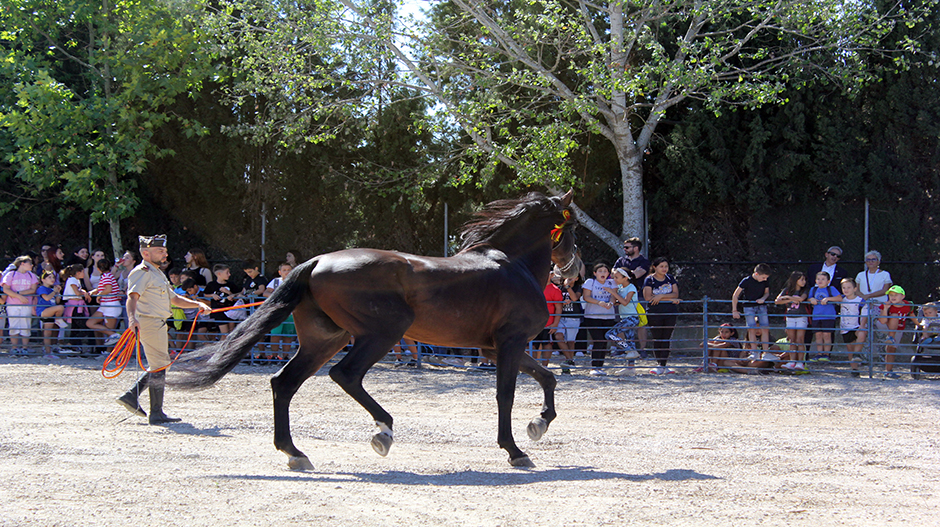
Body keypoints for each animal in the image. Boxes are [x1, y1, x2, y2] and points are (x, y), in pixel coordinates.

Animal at [172, 191, 576, 470]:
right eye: (571, 226)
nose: (573, 269)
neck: (512, 264)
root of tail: (317, 261)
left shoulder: (494, 348)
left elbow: (548, 377)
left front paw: (538, 424)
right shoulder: (509, 343)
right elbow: (506, 395)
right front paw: (515, 450)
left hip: (326, 339)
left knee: (284, 383)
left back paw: (295, 453)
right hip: (382, 332)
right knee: (345, 374)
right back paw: (383, 431)